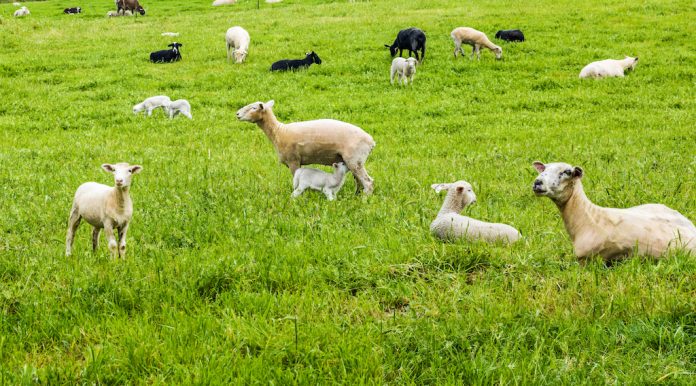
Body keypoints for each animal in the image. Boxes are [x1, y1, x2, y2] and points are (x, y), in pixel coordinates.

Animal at [235, 100, 378, 195]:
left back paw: (364, 200)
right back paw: (356, 196)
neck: (279, 132)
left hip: (355, 159)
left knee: (368, 182)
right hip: (353, 161)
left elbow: (296, 180)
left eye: (253, 108)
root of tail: (371, 141)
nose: (237, 114)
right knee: (359, 181)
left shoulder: (293, 160)